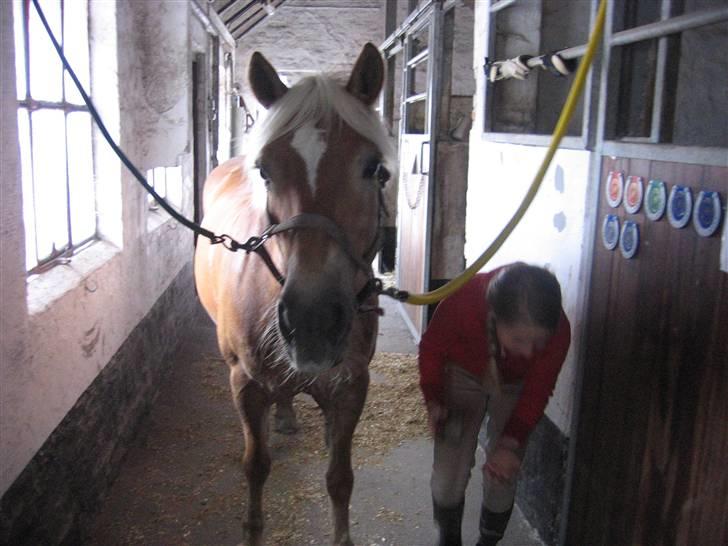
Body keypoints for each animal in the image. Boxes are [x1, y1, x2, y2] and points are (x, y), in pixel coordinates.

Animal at [193, 43, 396, 544]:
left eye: (374, 169)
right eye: (265, 170)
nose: (312, 322)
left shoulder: (352, 385)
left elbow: (340, 478)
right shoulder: (245, 385)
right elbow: (255, 465)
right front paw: (251, 529)